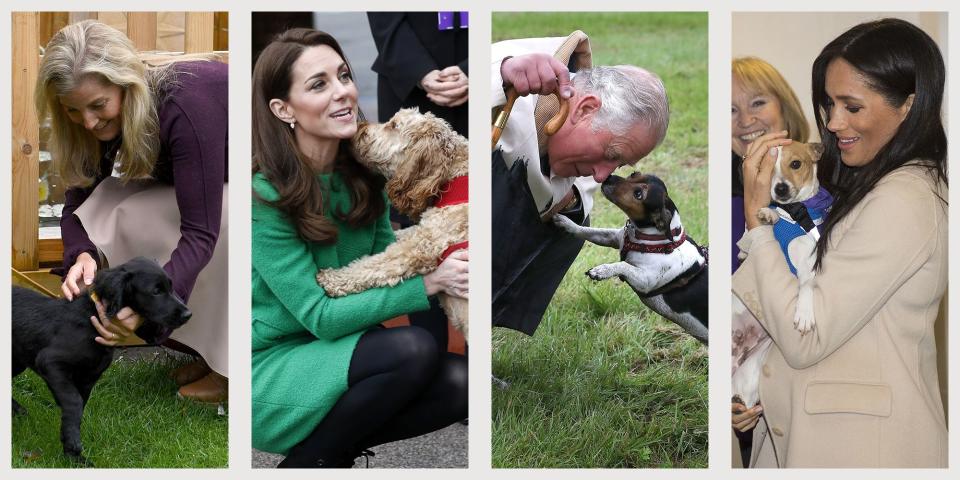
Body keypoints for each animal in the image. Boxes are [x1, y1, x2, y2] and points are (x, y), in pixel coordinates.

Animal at [13, 256, 191, 464]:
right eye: (156, 291)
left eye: (170, 287)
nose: (188, 315)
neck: (91, 321)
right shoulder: (50, 362)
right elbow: (74, 402)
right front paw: (73, 449)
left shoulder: (89, 378)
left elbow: (78, 407)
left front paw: (71, 453)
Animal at [556, 174, 704, 344]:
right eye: (634, 174)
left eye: (638, 194)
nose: (608, 177)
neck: (654, 238)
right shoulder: (612, 237)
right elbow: (587, 231)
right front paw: (567, 223)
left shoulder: (645, 281)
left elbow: (623, 265)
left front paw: (601, 271)